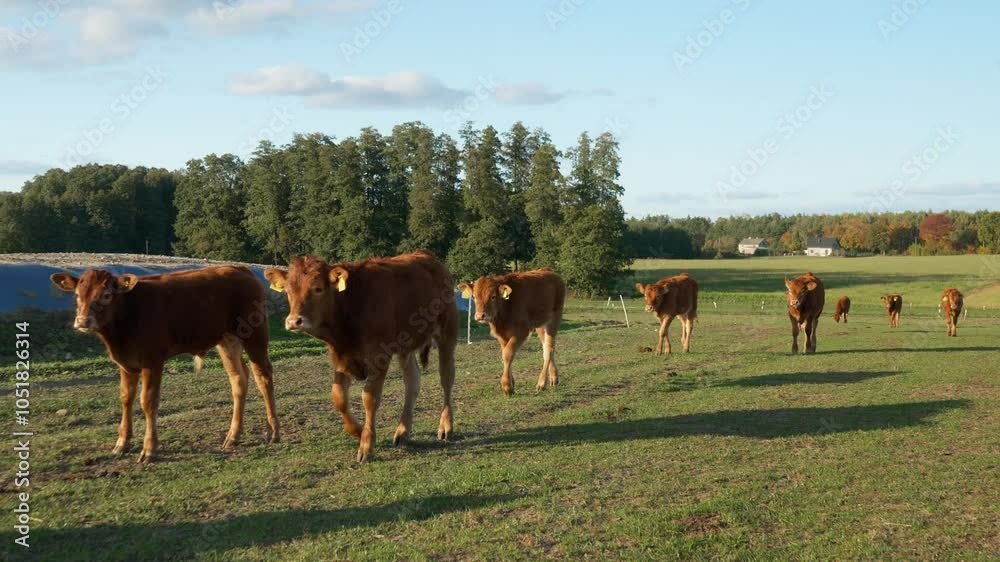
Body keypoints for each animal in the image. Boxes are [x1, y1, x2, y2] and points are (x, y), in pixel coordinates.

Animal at [50, 266, 279, 463]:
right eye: (77, 295)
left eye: (106, 295)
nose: (82, 321)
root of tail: (238, 268)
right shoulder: (125, 364)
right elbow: (126, 398)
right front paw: (122, 443)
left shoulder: (153, 361)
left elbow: (148, 401)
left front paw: (149, 449)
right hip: (227, 340)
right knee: (239, 379)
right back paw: (233, 436)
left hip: (255, 335)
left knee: (263, 376)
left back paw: (273, 432)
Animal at [265, 251, 457, 463]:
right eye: (288, 291)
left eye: (317, 288)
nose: (293, 321)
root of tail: (424, 255)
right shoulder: (341, 358)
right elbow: (338, 397)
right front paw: (358, 431)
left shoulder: (380, 356)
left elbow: (369, 398)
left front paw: (367, 444)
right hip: (406, 347)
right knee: (412, 382)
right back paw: (403, 431)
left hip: (447, 332)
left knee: (446, 378)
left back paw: (445, 426)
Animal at [457, 268, 565, 397]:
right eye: (474, 296)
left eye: (493, 296)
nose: (480, 315)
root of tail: (548, 270)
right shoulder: (502, 335)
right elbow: (505, 354)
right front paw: (511, 384)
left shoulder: (521, 331)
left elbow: (508, 354)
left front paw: (507, 386)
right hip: (540, 324)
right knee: (546, 347)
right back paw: (554, 377)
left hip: (554, 318)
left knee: (549, 348)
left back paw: (542, 383)